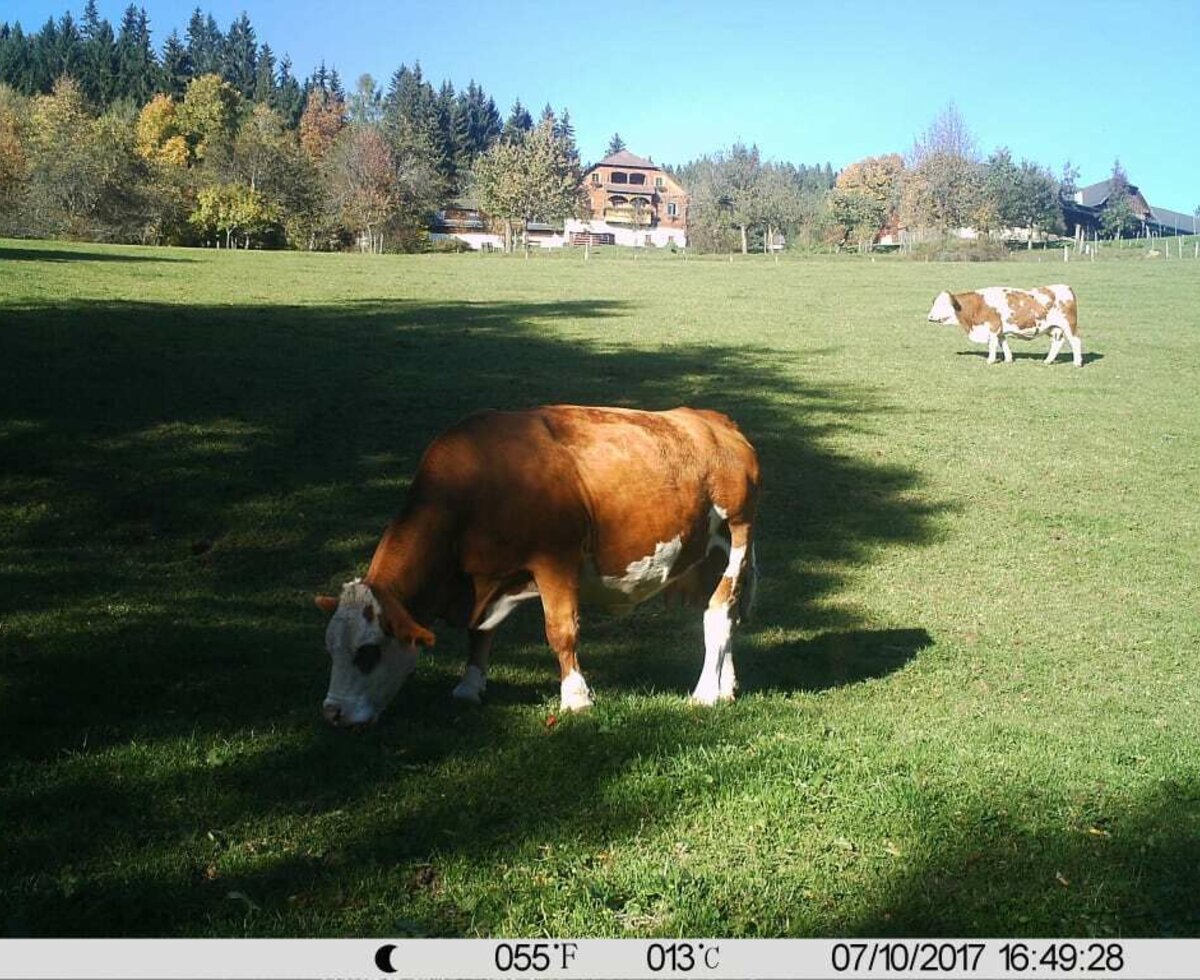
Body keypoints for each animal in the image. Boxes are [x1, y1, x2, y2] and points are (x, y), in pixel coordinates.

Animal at [312, 405, 758, 724]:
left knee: (718, 615)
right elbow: (480, 634)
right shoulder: (487, 580)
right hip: (708, 555)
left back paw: (705, 693)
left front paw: (575, 697)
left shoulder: (555, 562)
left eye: (367, 652)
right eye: (330, 649)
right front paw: (469, 687)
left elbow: (561, 632)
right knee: (729, 616)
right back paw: (728, 685)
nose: (332, 713)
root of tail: (712, 420)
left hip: (737, 535)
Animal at [921, 283, 1084, 367]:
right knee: (1057, 343)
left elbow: (993, 344)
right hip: (1054, 328)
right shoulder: (1000, 329)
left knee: (1075, 341)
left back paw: (1077, 363)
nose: (930, 317)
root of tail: (1065, 287)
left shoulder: (993, 327)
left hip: (1069, 325)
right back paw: (1048, 361)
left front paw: (990, 360)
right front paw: (1008, 359)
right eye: (935, 303)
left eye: (944, 305)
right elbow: (1002, 343)